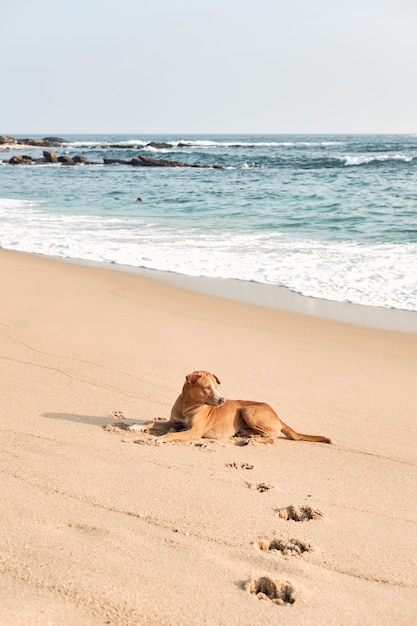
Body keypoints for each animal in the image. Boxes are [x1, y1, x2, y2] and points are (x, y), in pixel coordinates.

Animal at [133, 370, 332, 444]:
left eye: (217, 386)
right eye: (207, 388)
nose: (222, 400)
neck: (188, 404)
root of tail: (277, 415)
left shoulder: (193, 432)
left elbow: (171, 434)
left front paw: (159, 438)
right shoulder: (173, 422)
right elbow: (152, 421)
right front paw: (137, 426)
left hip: (248, 410)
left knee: (271, 437)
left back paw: (252, 439)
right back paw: (246, 435)